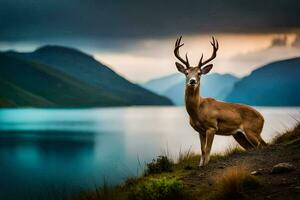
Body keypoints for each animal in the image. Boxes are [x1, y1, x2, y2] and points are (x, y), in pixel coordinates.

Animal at [173, 36, 268, 167]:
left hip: (252, 130)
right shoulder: (200, 131)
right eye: (186, 73)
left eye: (199, 73)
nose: (192, 81)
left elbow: (208, 150)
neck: (198, 110)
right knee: (254, 146)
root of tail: (262, 118)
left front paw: (206, 165)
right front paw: (200, 165)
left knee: (261, 145)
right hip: (239, 134)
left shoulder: (212, 127)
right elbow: (202, 150)